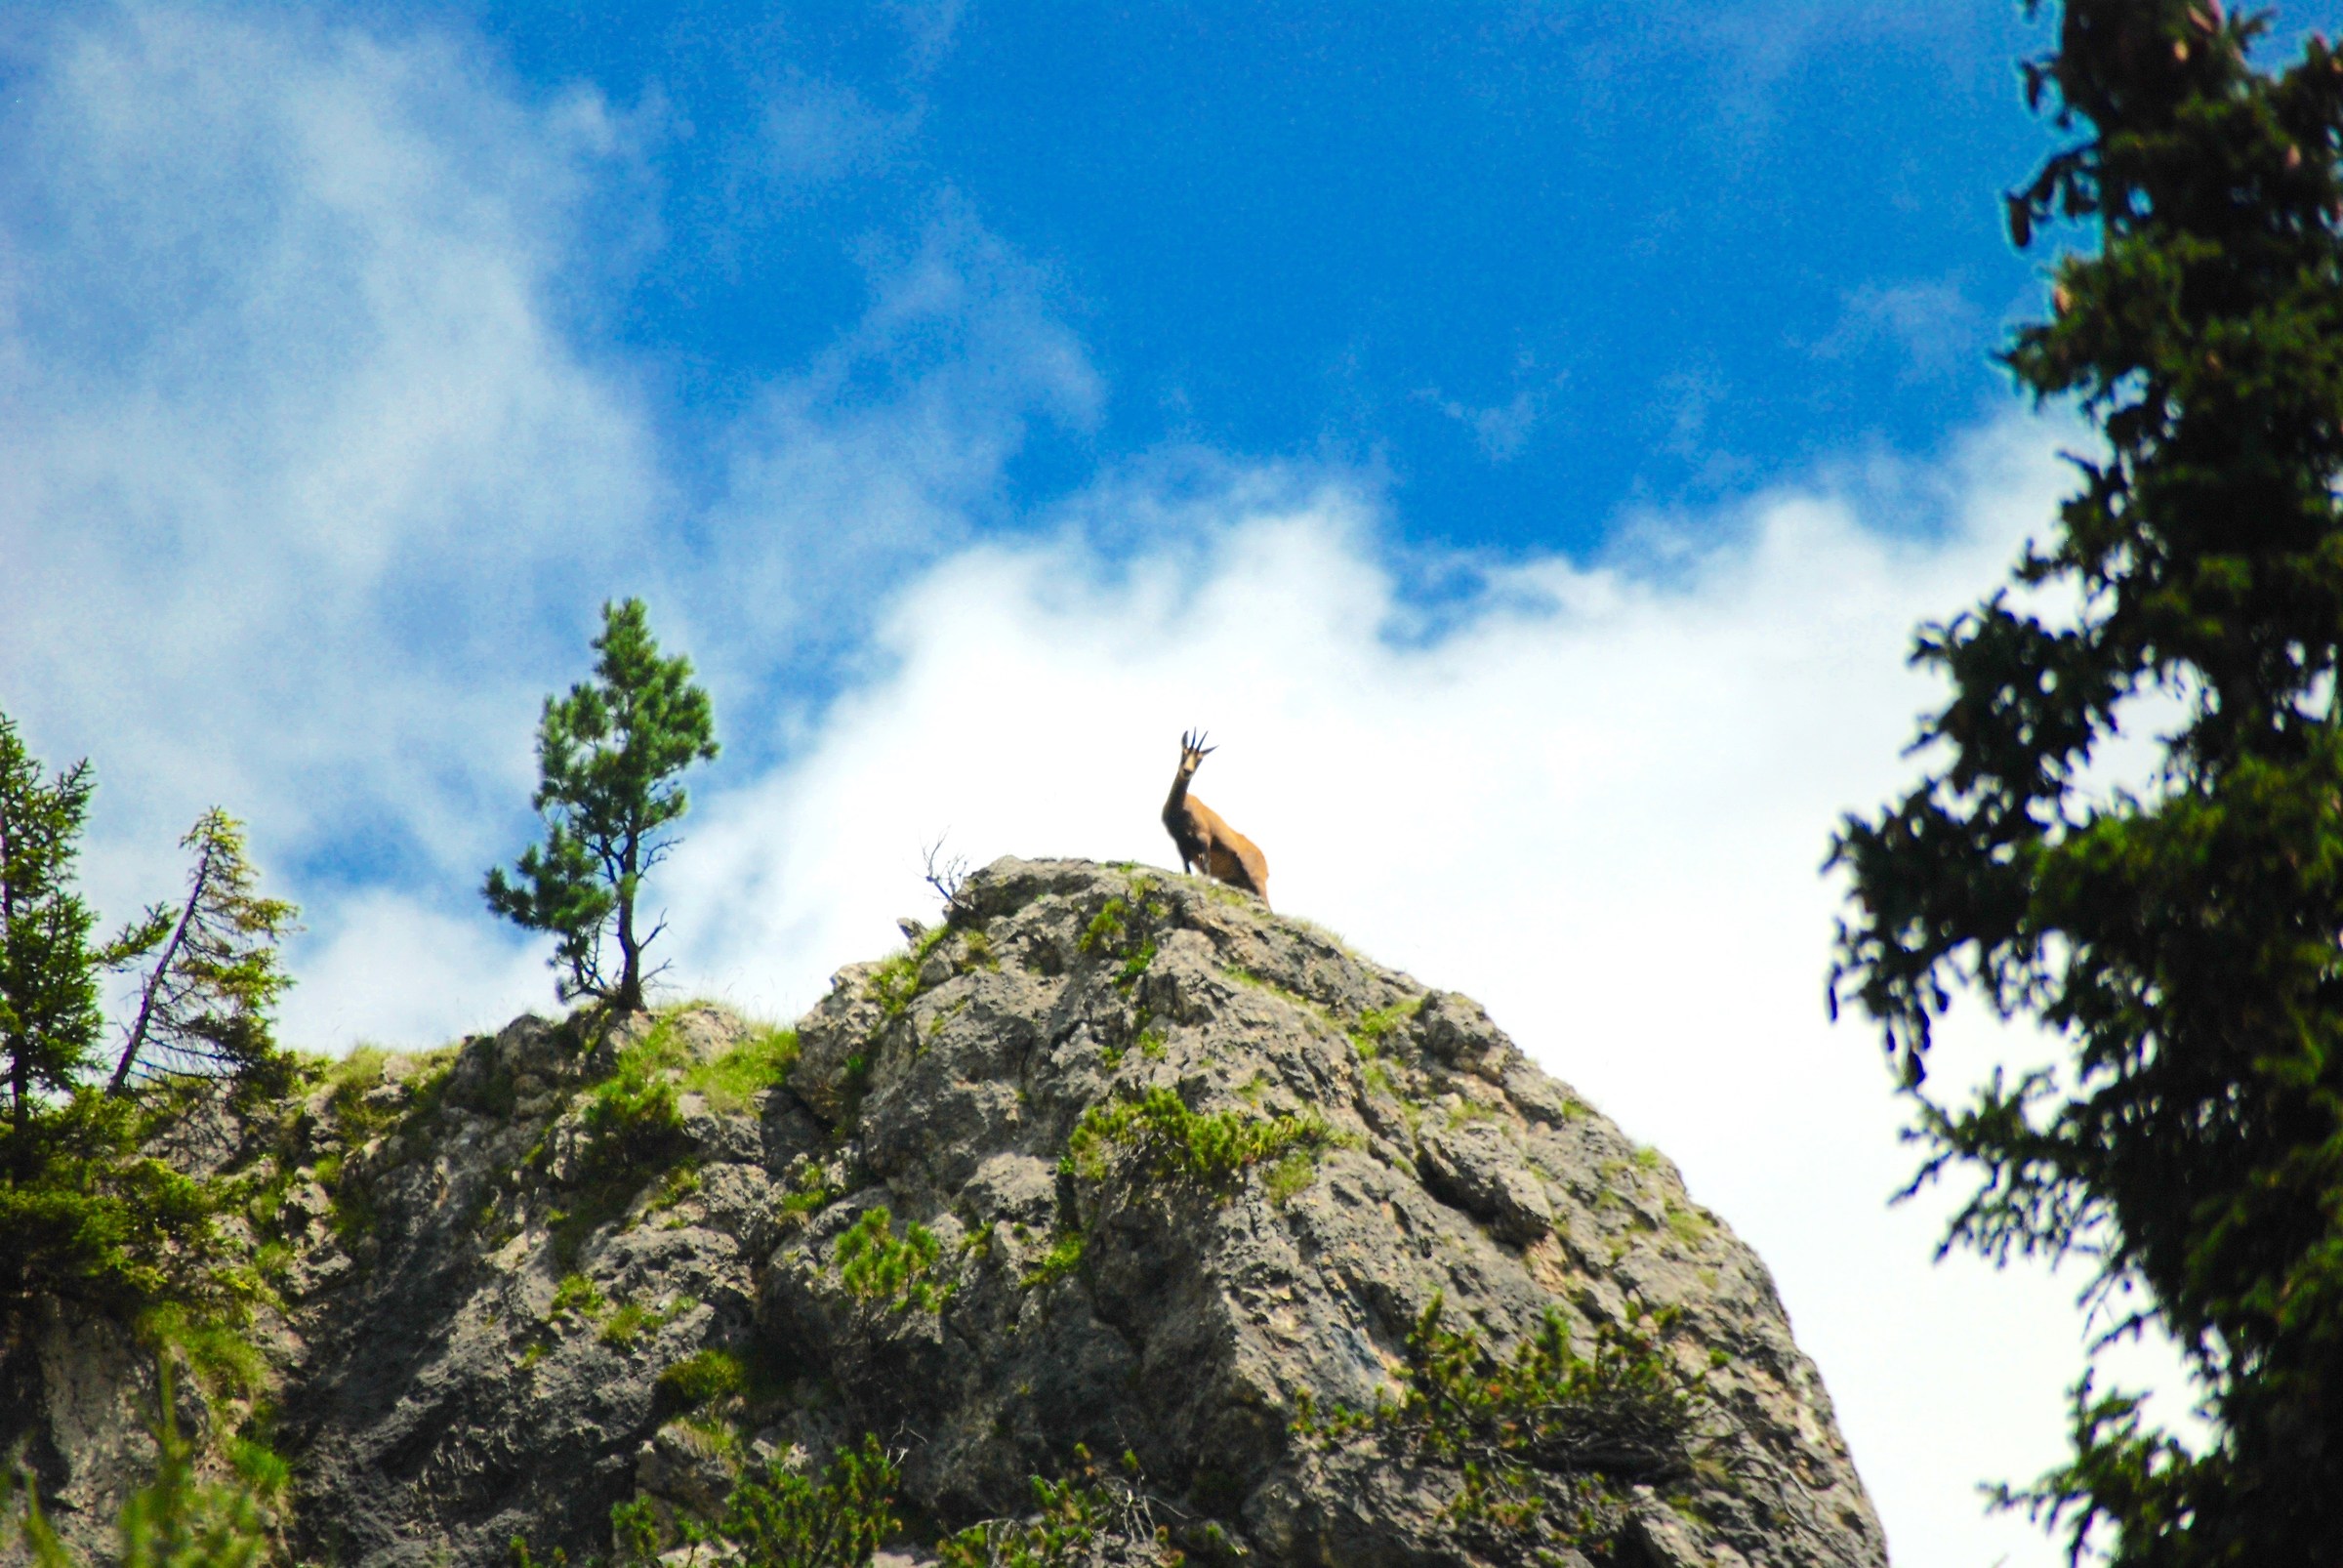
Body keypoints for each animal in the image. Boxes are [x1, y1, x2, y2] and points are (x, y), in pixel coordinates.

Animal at [1162, 729, 1270, 908]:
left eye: (1199, 759)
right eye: (1184, 753)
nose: (1187, 771)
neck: (1180, 809)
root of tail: (1266, 865)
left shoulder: (1204, 838)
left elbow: (1206, 868)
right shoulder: (1180, 842)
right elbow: (1187, 869)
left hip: (1256, 879)